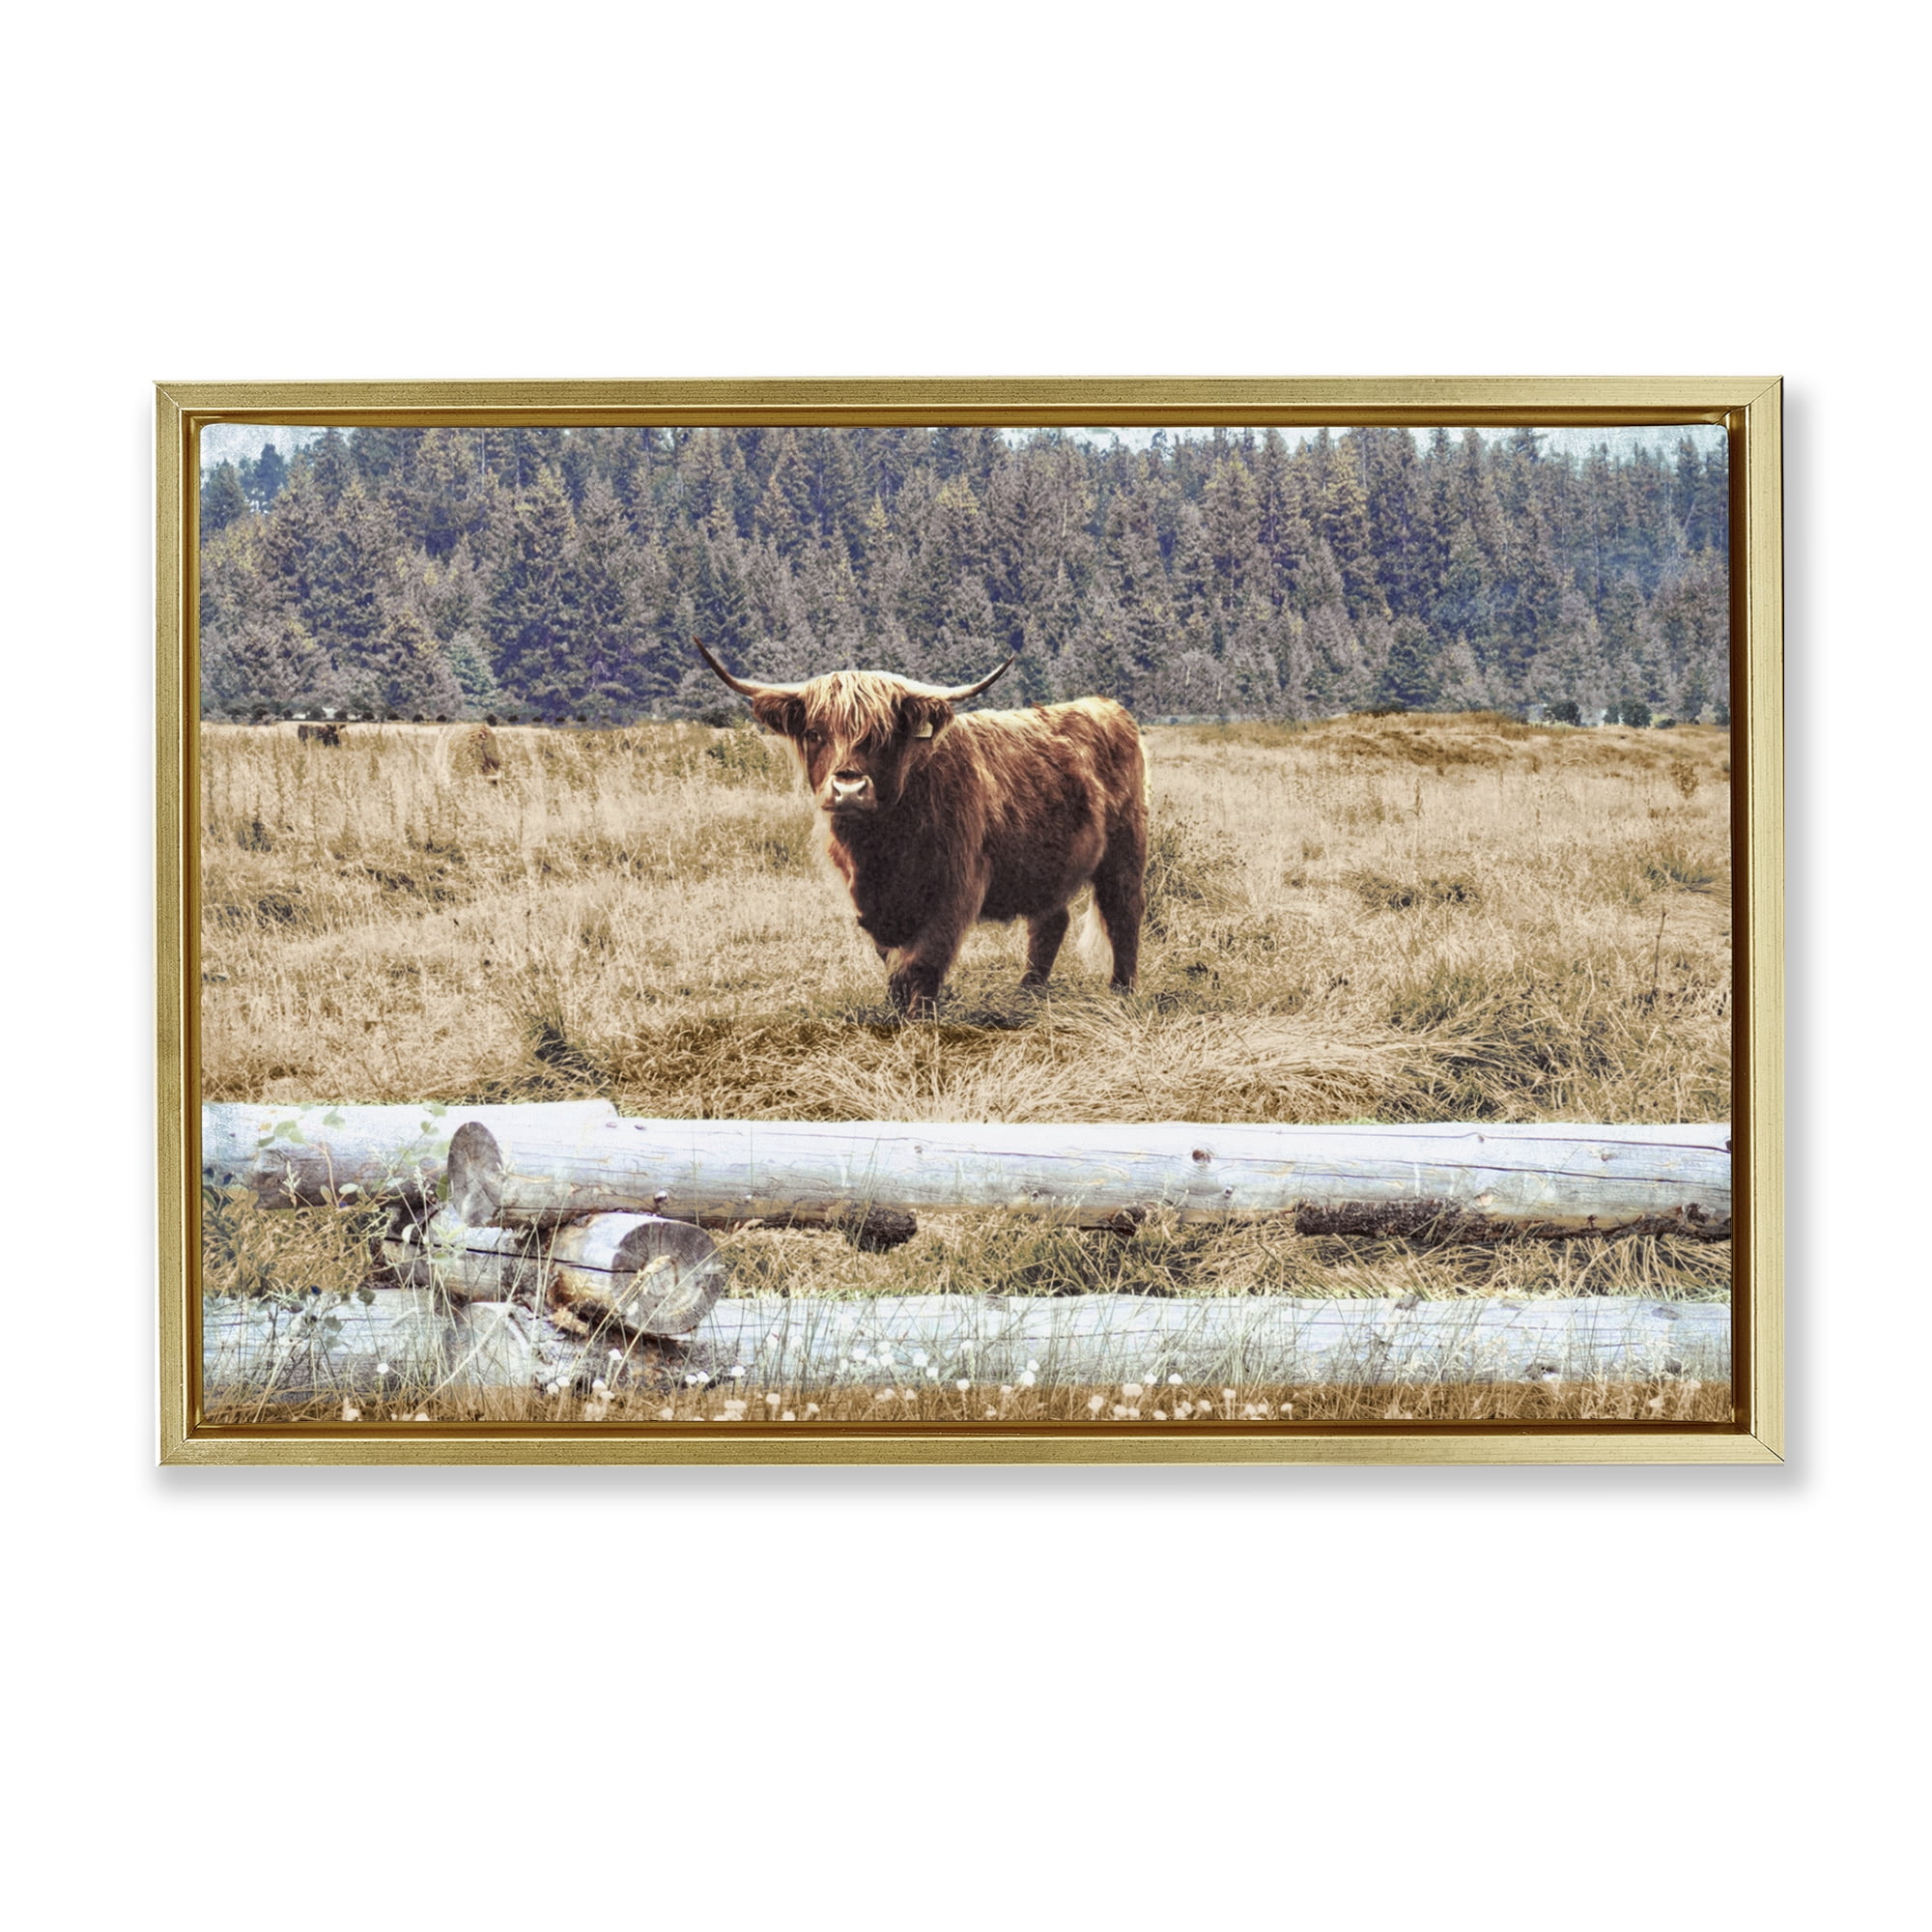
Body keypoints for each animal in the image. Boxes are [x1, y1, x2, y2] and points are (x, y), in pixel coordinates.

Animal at [696, 644, 1147, 1015]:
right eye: (814, 732)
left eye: (883, 736)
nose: (849, 789)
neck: (881, 849)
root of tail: (1106, 706)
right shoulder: (869, 902)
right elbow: (893, 962)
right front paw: (896, 1013)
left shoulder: (955, 890)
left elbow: (923, 961)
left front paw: (920, 1021)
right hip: (1047, 863)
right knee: (1050, 921)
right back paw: (1028, 994)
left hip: (1125, 849)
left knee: (1123, 912)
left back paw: (1121, 993)